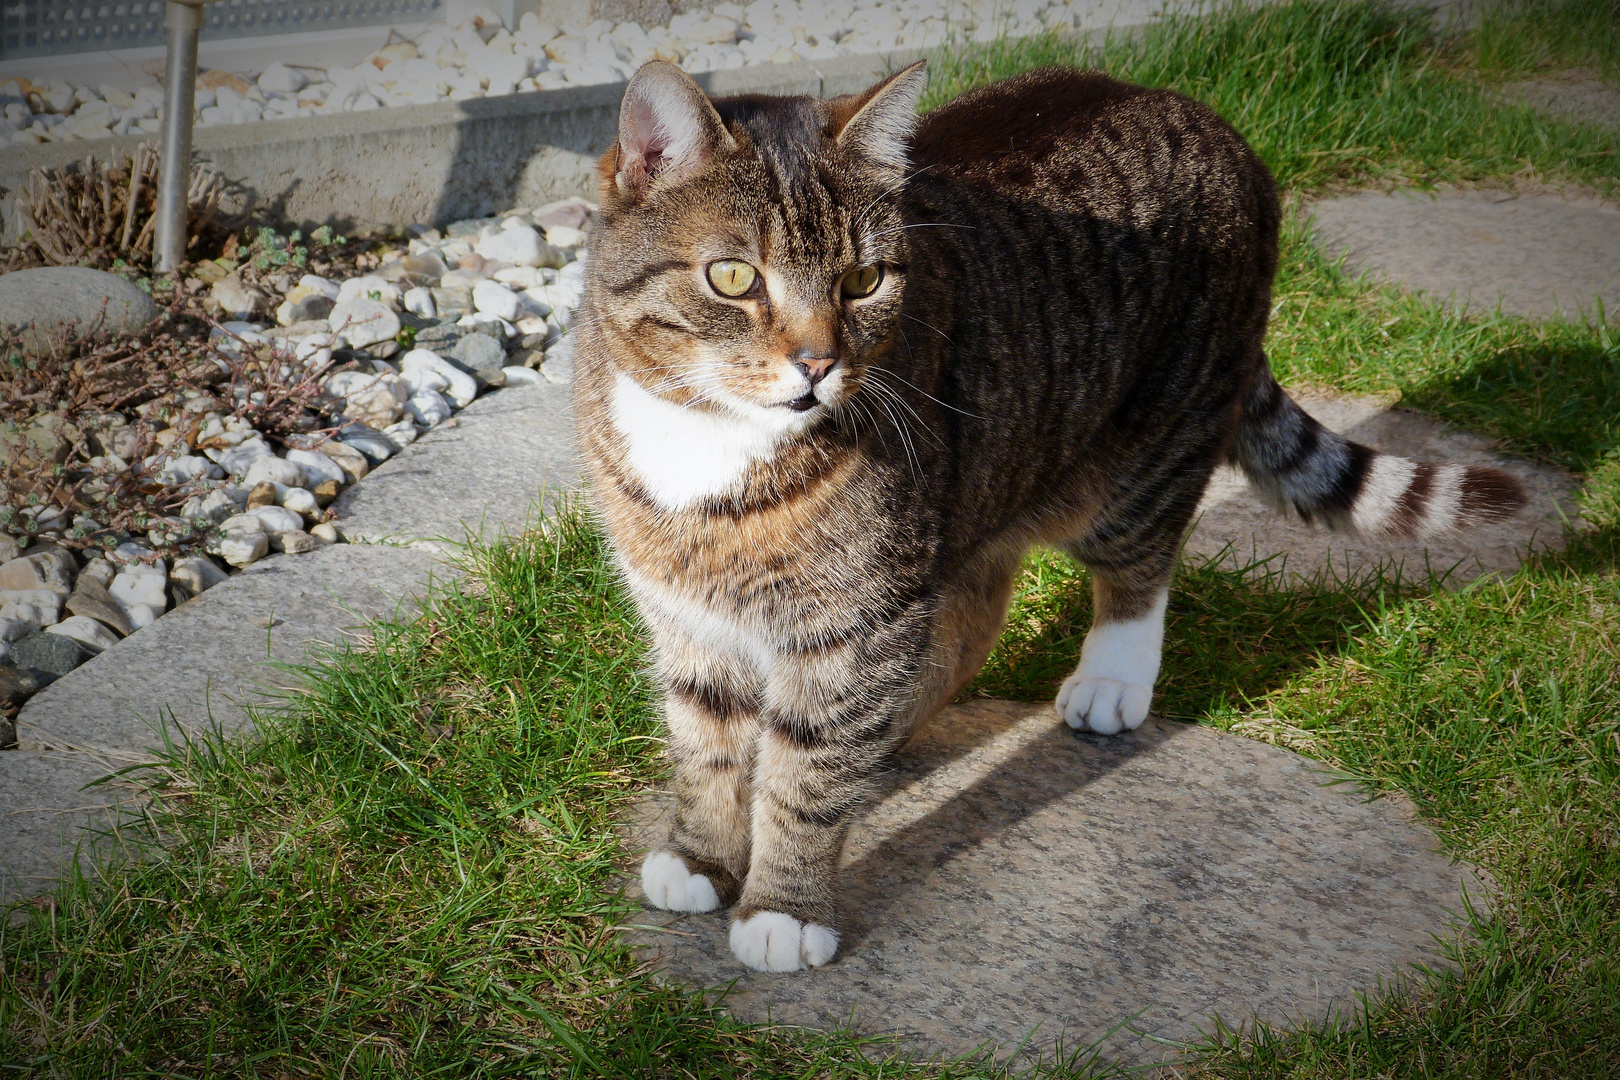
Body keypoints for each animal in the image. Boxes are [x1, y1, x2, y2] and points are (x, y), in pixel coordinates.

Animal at [573, 57, 1529, 971]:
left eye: (863, 280)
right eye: (733, 277)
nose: (817, 364)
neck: (707, 444)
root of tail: (1207, 117)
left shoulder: (857, 621)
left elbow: (810, 776)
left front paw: (783, 908)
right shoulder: (686, 612)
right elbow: (706, 746)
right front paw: (703, 855)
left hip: (1143, 455)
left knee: (1140, 566)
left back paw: (1111, 678)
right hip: (978, 490)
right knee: (973, 616)